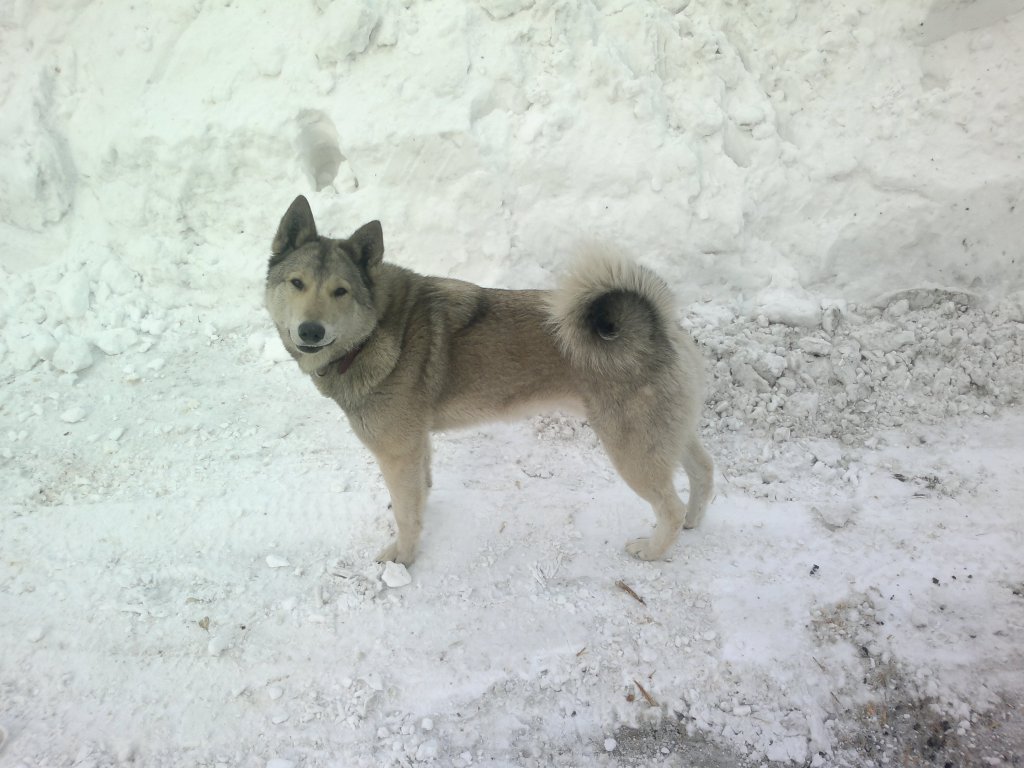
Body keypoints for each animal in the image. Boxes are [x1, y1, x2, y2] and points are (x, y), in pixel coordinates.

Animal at [265, 195, 714, 565]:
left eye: (340, 291)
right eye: (297, 283)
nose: (310, 331)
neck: (377, 330)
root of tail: (658, 324)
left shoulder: (397, 452)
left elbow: (408, 515)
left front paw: (403, 558)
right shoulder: (417, 444)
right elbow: (420, 493)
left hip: (634, 450)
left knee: (669, 507)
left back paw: (653, 549)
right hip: (668, 433)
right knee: (704, 472)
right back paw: (694, 520)